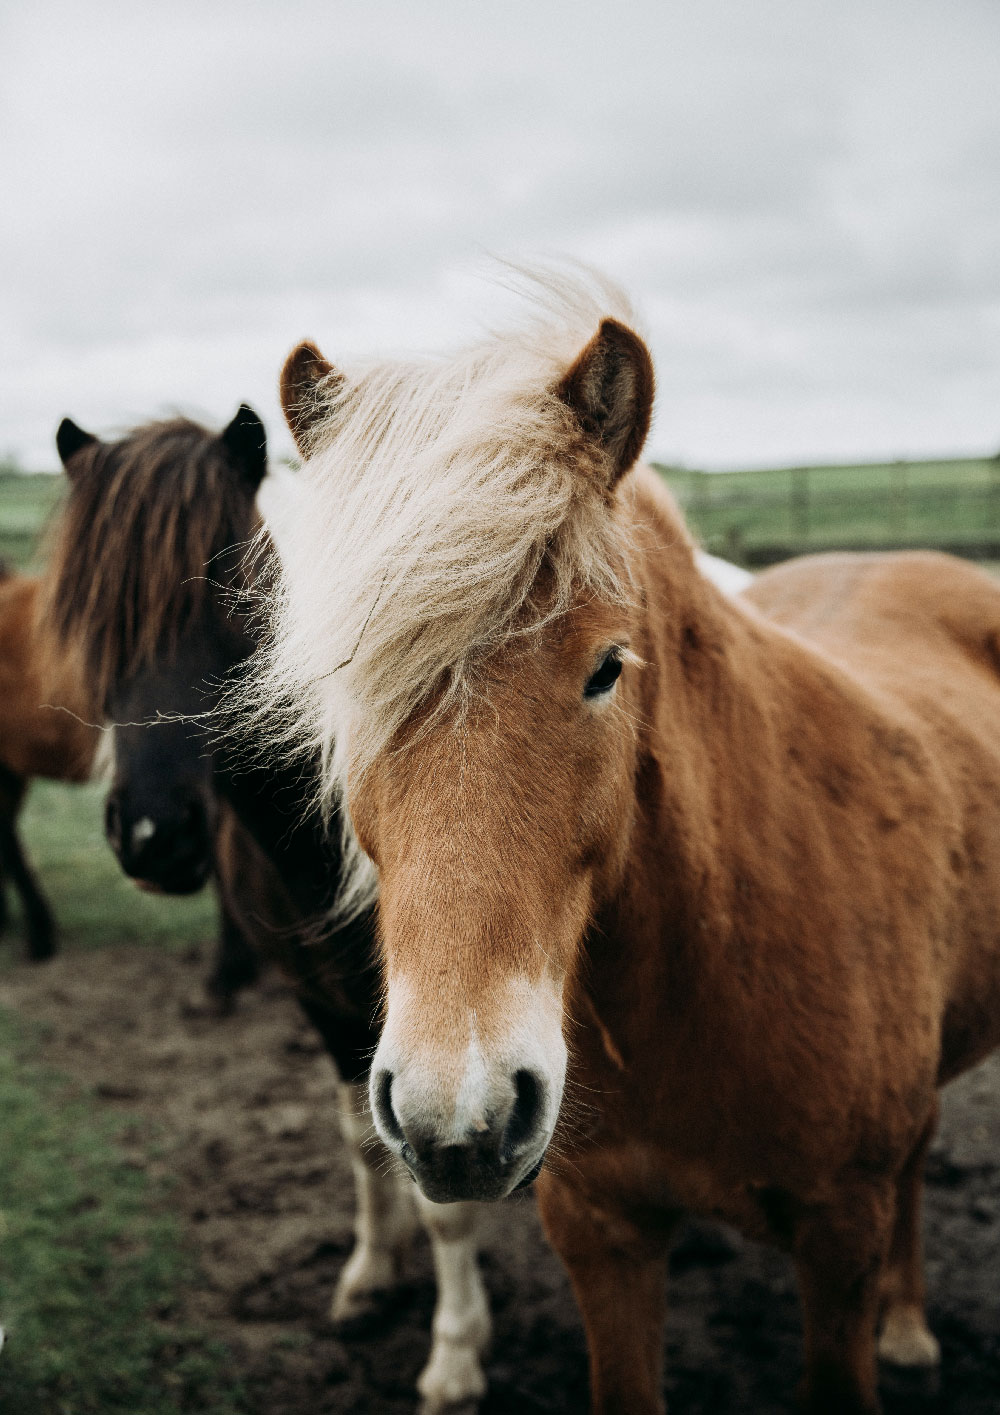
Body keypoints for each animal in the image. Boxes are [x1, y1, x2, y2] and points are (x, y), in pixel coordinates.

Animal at [47, 407, 492, 1415]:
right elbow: (362, 1140)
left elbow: (447, 1195)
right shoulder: (321, 998)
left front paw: (453, 1357)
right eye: (90, 609)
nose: (152, 835)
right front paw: (370, 1276)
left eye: (224, 588)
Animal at [260, 270, 1000, 1409]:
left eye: (607, 666)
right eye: (344, 691)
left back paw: (911, 1323)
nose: (456, 1113)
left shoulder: (839, 1235)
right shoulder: (601, 1234)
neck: (715, 962)